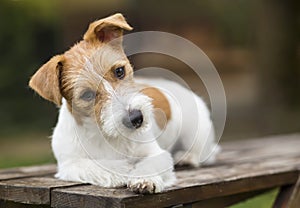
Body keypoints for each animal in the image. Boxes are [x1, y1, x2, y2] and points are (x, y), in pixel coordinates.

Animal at [28, 13, 218, 194]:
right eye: (87, 94)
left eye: (119, 71)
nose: (136, 118)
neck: (105, 135)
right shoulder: (71, 164)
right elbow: (99, 166)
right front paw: (124, 170)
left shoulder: (156, 154)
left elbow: (149, 163)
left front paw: (144, 179)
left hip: (198, 135)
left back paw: (188, 158)